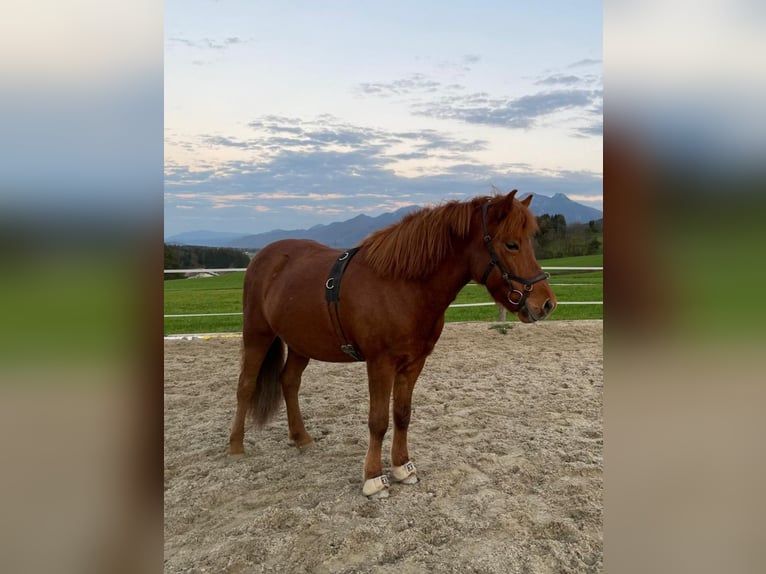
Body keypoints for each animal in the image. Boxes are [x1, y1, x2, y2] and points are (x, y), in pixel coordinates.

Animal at [227, 190, 557, 498]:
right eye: (511, 244)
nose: (546, 304)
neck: (403, 285)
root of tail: (264, 257)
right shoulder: (380, 364)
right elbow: (378, 421)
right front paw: (374, 479)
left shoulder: (413, 363)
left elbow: (402, 415)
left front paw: (402, 467)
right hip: (257, 335)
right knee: (246, 385)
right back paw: (235, 446)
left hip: (300, 343)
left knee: (289, 382)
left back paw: (302, 438)